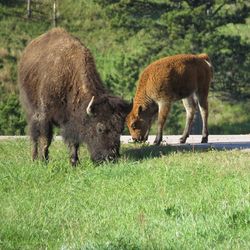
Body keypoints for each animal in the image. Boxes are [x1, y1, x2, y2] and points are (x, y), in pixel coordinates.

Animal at [18, 28, 131, 165]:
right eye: (100, 128)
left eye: (121, 129)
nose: (110, 158)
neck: (69, 76)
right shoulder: (44, 115)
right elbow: (45, 139)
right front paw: (44, 161)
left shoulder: (72, 120)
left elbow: (74, 142)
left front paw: (74, 162)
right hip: (31, 110)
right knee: (34, 135)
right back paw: (35, 158)